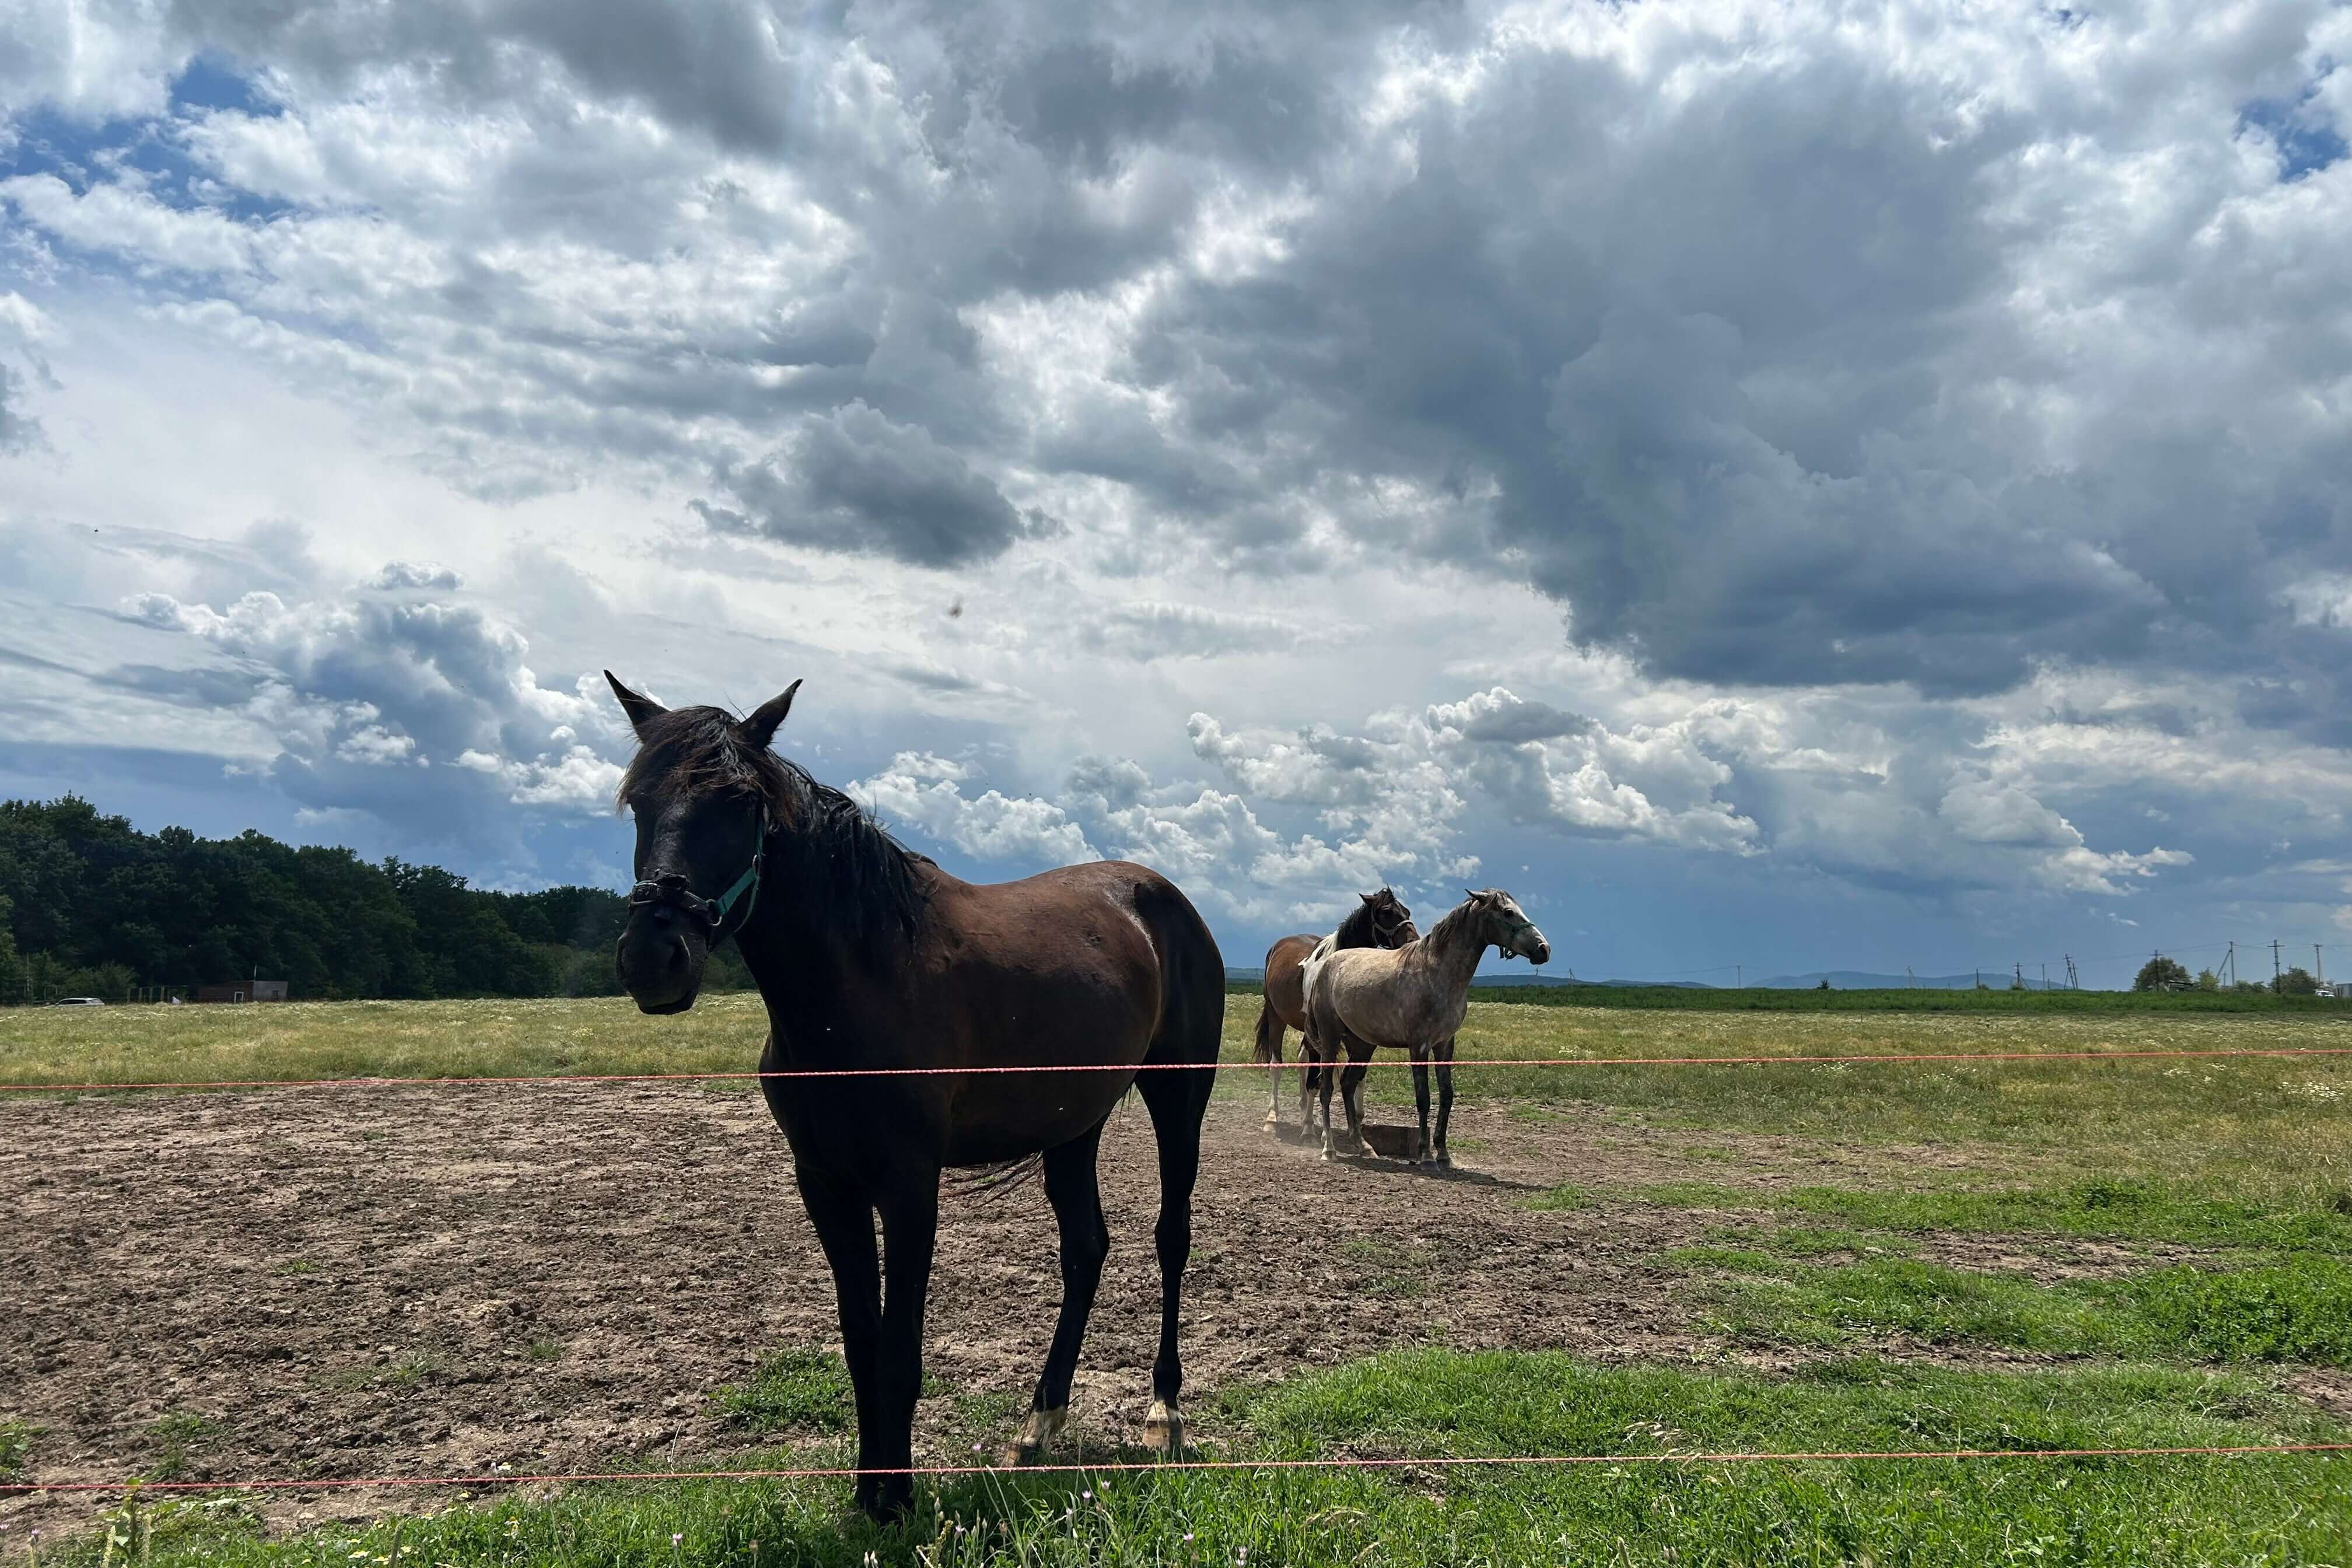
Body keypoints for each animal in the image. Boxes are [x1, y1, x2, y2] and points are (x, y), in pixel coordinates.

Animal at [604, 673, 1223, 1521]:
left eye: (740, 801)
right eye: (639, 800)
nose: (653, 956)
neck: (859, 985)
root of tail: (1161, 897)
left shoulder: (908, 1183)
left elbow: (899, 1345)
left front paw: (896, 1499)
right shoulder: (825, 1183)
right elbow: (861, 1341)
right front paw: (869, 1490)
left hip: (1179, 1100)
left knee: (1171, 1238)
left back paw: (1164, 1409)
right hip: (1075, 1125)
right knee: (1085, 1250)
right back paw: (1041, 1419)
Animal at [1251, 890, 1417, 1129]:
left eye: (1407, 911)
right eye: (1387, 912)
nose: (1413, 941)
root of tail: (1277, 946)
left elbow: (1357, 1073)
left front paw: (1356, 1118)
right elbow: (1316, 1080)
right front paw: (1309, 1127)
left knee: (1301, 1059)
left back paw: (1303, 1107)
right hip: (1277, 1018)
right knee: (1277, 1065)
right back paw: (1273, 1117)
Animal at [1298, 889, 1551, 1167]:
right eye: (1508, 912)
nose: (1543, 949)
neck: (1438, 974)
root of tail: (1326, 966)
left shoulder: (1444, 1045)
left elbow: (1447, 1095)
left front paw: (1443, 1153)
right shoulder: (1418, 1047)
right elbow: (1424, 1098)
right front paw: (1426, 1154)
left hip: (1364, 1044)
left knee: (1347, 1084)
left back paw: (1363, 1146)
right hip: (1330, 1040)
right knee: (1326, 1089)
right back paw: (1329, 1149)